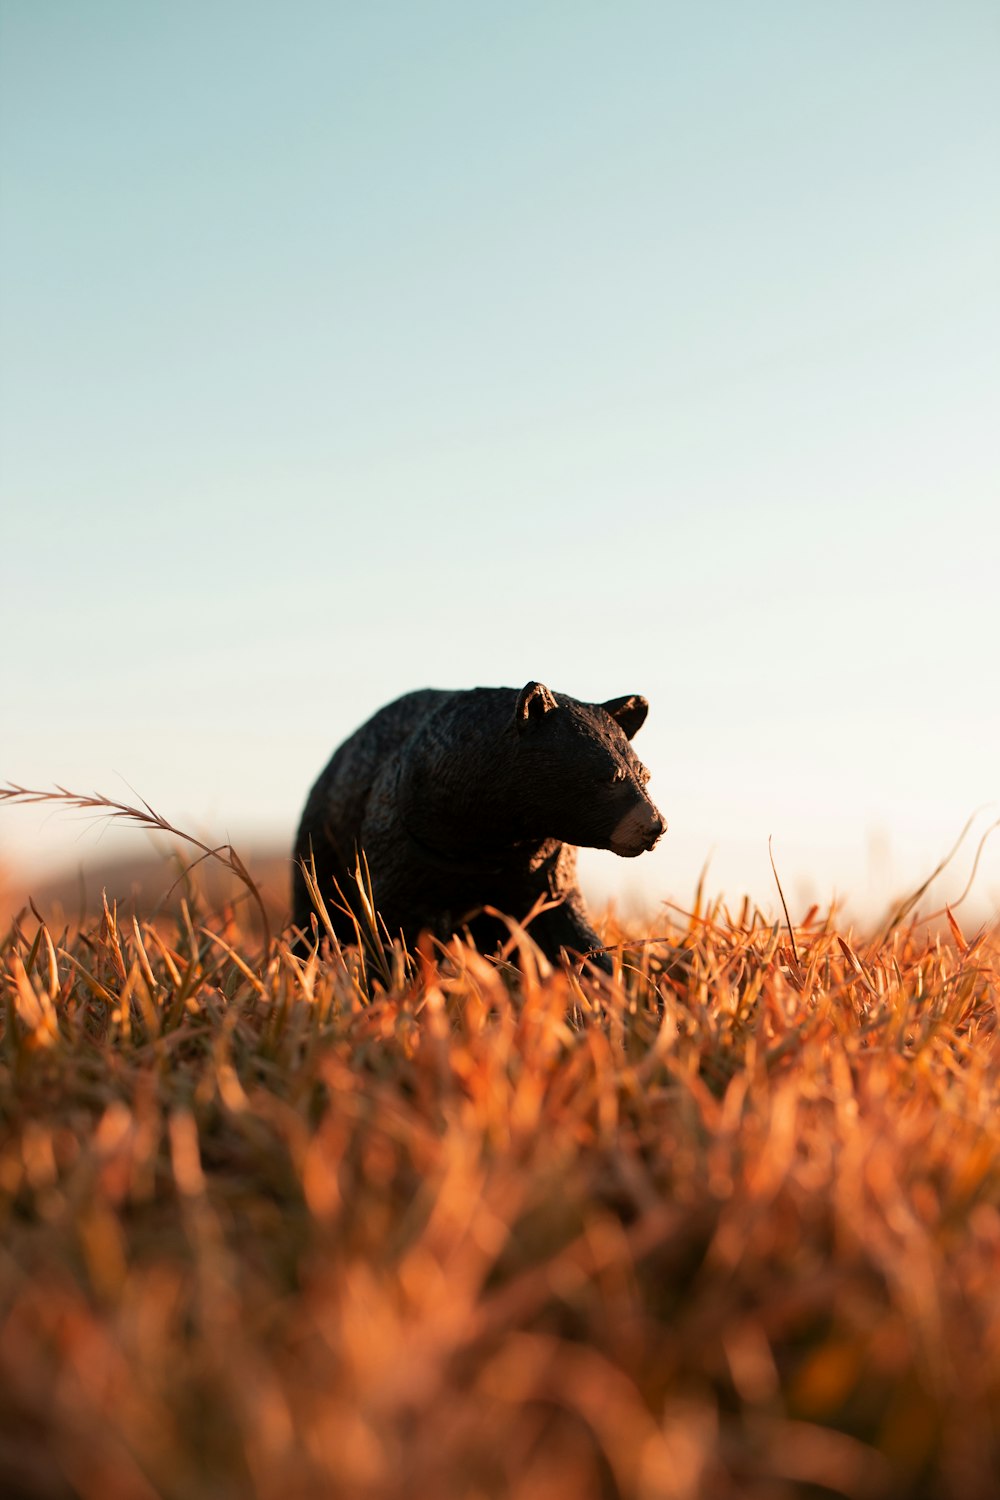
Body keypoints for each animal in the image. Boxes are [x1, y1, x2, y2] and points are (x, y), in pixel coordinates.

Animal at [290, 684, 665, 972]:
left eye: (644, 775)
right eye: (611, 777)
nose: (655, 827)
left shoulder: (540, 859)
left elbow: (564, 921)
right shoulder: (411, 844)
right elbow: (393, 925)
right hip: (323, 838)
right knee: (313, 912)